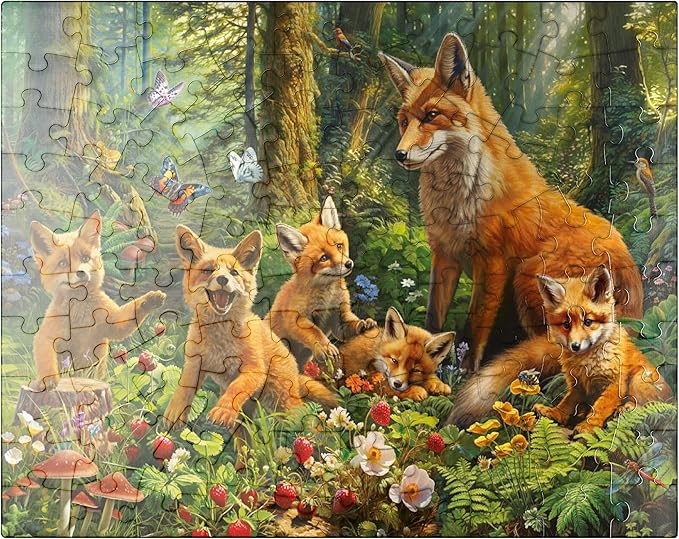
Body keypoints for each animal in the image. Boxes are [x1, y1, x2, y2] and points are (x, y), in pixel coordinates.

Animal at [29, 211, 166, 391]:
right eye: (63, 263)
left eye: (85, 258)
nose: (81, 273)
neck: (81, 318)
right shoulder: (46, 336)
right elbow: (46, 360)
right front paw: (49, 380)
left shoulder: (112, 323)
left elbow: (131, 312)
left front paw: (150, 300)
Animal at [163, 226, 336, 431]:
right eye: (208, 270)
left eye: (234, 272)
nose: (223, 279)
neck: (221, 343)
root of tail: (295, 371)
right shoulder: (195, 362)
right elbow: (184, 386)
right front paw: (175, 412)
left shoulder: (254, 369)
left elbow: (236, 388)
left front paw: (223, 410)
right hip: (245, 421)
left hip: (287, 408)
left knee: (310, 424)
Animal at [268, 196, 377, 367]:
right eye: (324, 258)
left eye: (339, 246)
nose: (349, 264)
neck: (327, 299)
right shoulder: (296, 318)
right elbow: (315, 332)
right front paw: (325, 346)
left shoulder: (339, 316)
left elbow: (348, 326)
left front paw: (363, 324)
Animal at [379, 33, 643, 371]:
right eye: (403, 121)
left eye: (431, 116)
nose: (399, 154)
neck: (459, 201)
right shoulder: (444, 254)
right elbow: (434, 319)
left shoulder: (492, 262)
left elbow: (475, 326)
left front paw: (463, 371)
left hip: (526, 277)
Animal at [447, 266, 672, 431]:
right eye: (566, 324)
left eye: (588, 322)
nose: (575, 345)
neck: (586, 363)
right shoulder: (578, 384)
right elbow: (567, 403)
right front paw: (555, 414)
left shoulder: (614, 382)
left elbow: (600, 407)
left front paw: (588, 427)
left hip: (640, 379)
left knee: (650, 406)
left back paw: (626, 408)